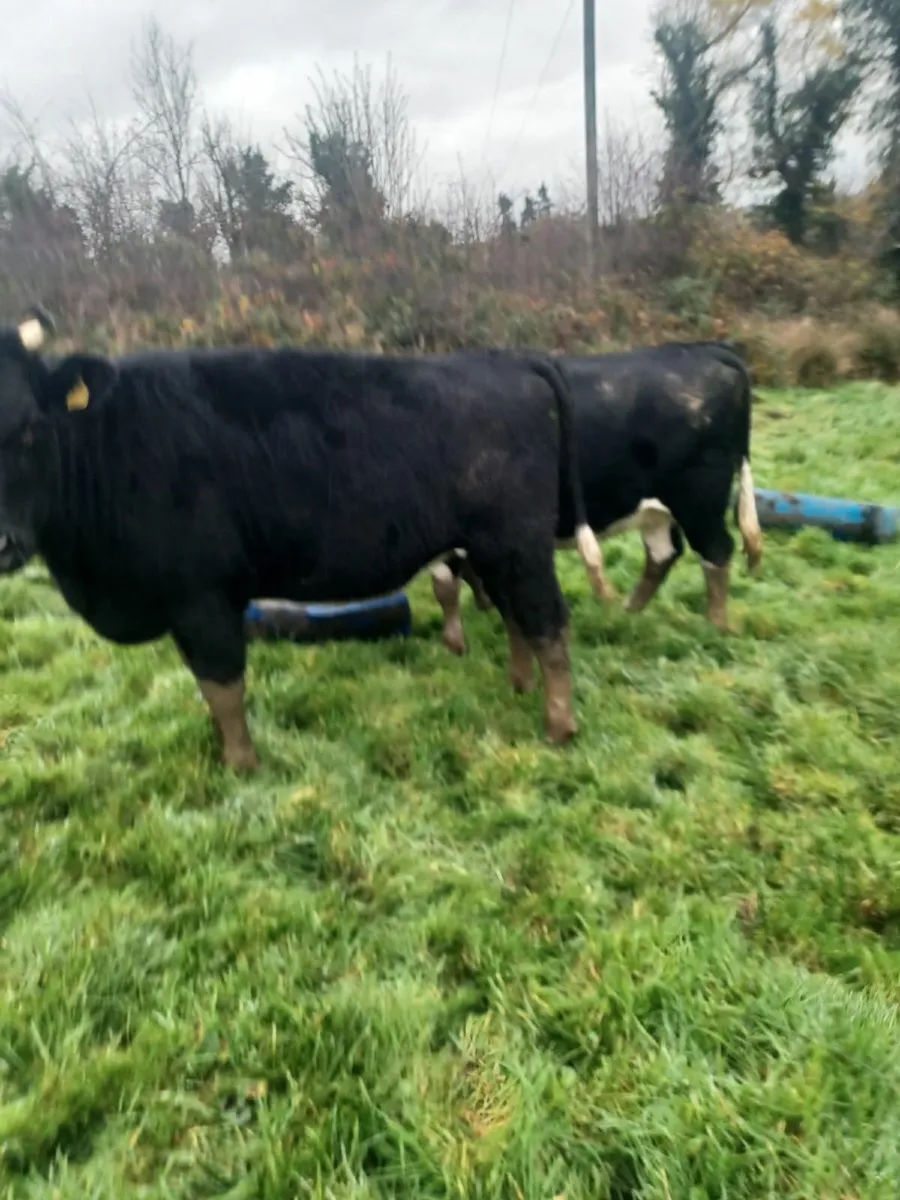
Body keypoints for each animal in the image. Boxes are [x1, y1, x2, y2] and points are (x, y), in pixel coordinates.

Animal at [0, 307, 607, 771]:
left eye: (30, 428)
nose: (4, 544)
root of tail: (507, 359)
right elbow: (208, 688)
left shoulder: (202, 598)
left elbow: (223, 687)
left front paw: (241, 767)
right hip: (496, 549)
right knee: (517, 616)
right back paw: (519, 686)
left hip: (518, 543)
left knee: (548, 622)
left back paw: (559, 727)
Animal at [429, 340, 763, 656]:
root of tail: (702, 348)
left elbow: (445, 586)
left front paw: (454, 646)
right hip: (656, 507)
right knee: (663, 553)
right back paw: (626, 613)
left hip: (699, 497)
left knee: (716, 551)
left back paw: (714, 626)